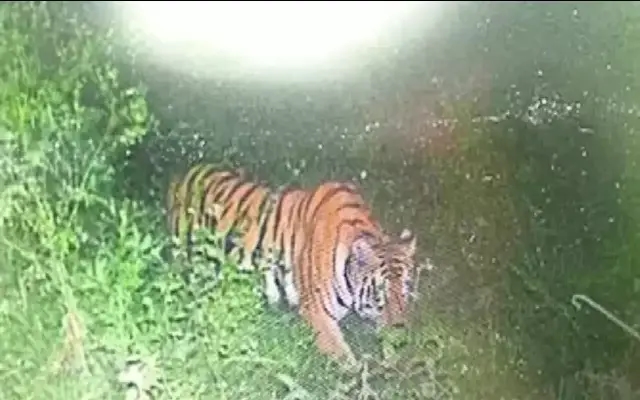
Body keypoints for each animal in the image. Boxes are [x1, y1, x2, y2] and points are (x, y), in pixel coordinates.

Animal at [166, 163, 418, 367]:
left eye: (405, 289)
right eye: (379, 292)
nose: (401, 333)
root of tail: (188, 172)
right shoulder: (318, 313)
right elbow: (346, 361)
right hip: (188, 259)